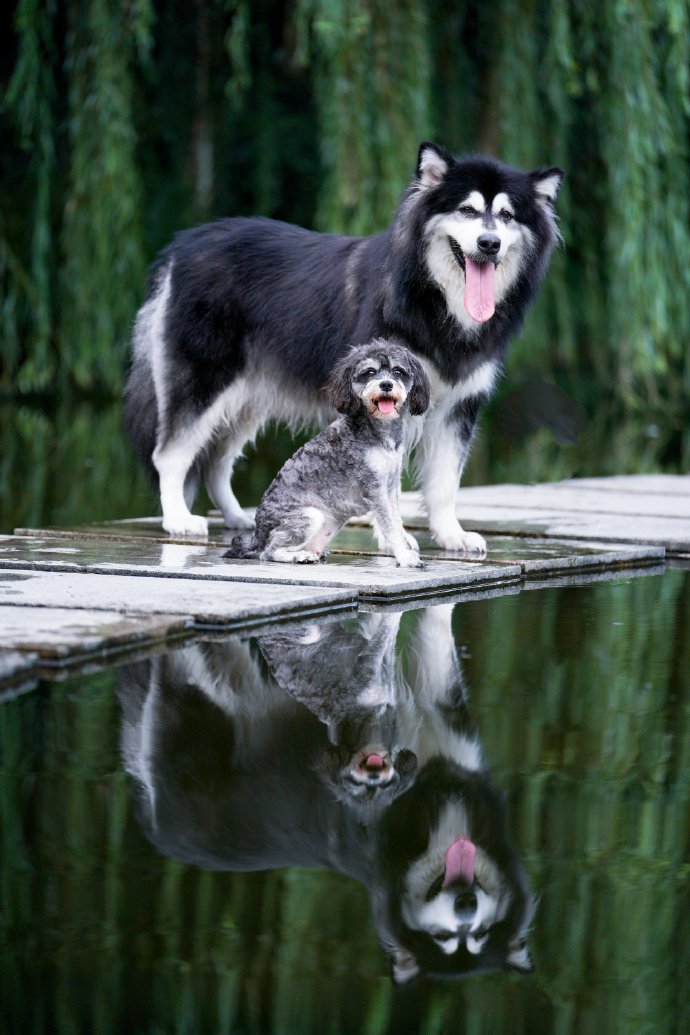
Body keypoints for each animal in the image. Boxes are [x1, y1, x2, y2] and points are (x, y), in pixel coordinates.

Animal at [224, 339, 428, 567]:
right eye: (369, 372)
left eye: (398, 371)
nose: (386, 384)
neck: (379, 433)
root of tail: (258, 534)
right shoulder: (374, 487)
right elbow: (389, 526)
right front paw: (404, 556)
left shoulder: (391, 486)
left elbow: (397, 522)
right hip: (310, 516)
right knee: (268, 552)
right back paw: (298, 556)